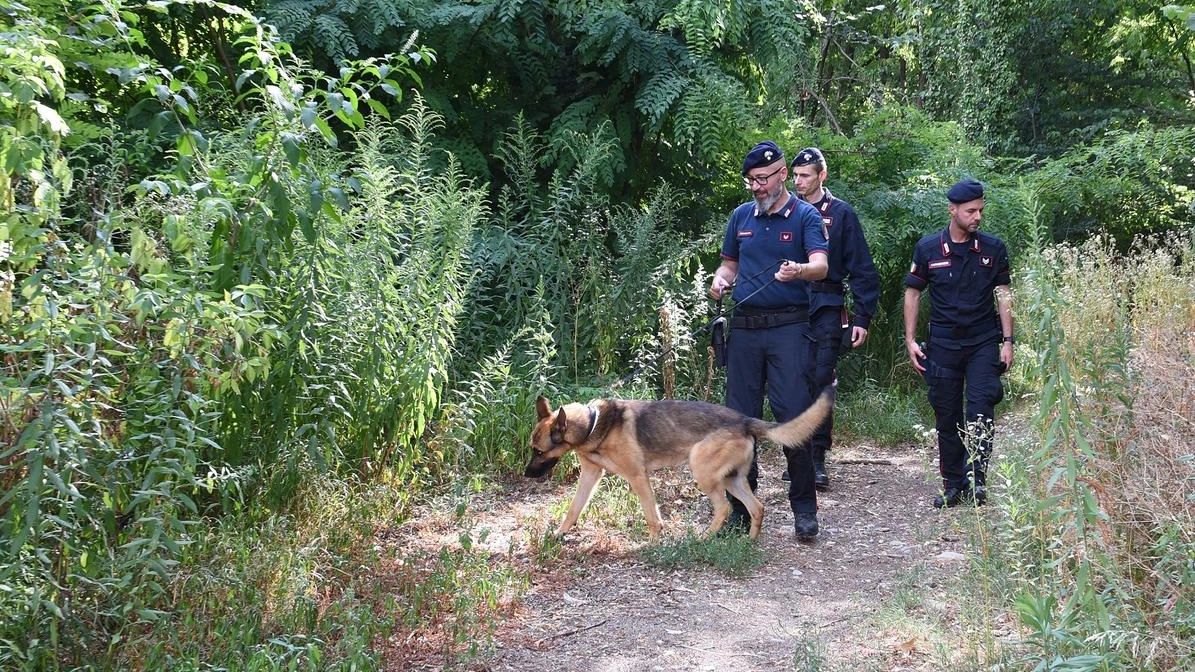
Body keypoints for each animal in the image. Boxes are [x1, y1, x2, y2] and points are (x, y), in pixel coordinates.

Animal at [523, 387, 831, 538]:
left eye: (538, 452)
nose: (526, 474)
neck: (593, 423)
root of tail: (745, 420)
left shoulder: (638, 477)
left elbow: (652, 517)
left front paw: (652, 544)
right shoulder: (590, 475)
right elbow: (573, 510)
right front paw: (559, 535)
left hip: (702, 470)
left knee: (723, 508)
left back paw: (703, 538)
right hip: (732, 479)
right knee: (756, 507)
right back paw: (750, 541)